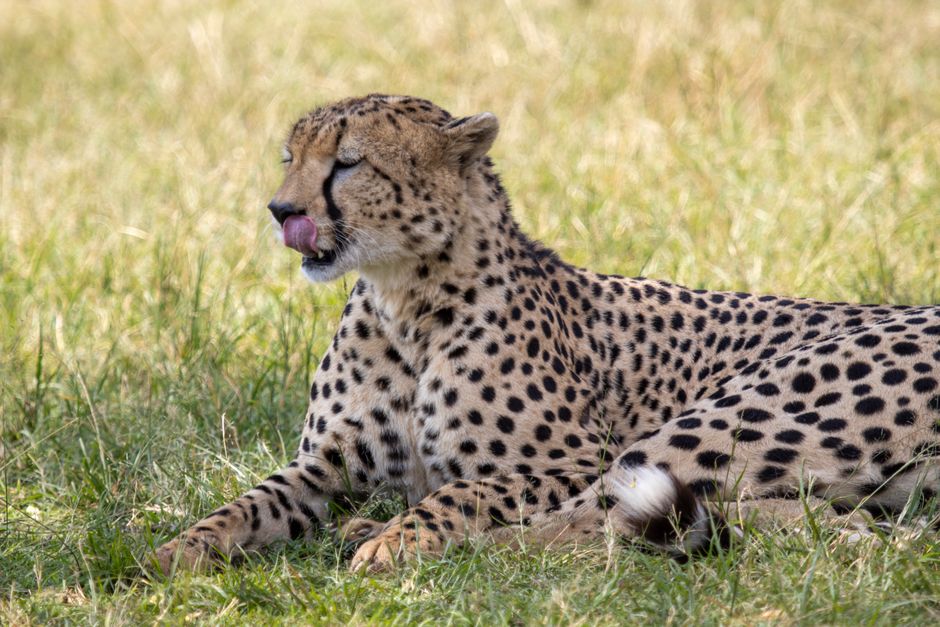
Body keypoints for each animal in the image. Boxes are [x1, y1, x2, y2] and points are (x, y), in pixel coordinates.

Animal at [155, 94, 940, 575]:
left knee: (597, 520)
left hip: (745, 408)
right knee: (808, 513)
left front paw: (402, 538)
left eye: (348, 162)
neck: (405, 300)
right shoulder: (324, 466)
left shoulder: (571, 457)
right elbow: (247, 503)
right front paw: (175, 550)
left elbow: (468, 491)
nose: (281, 209)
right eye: (291, 157)